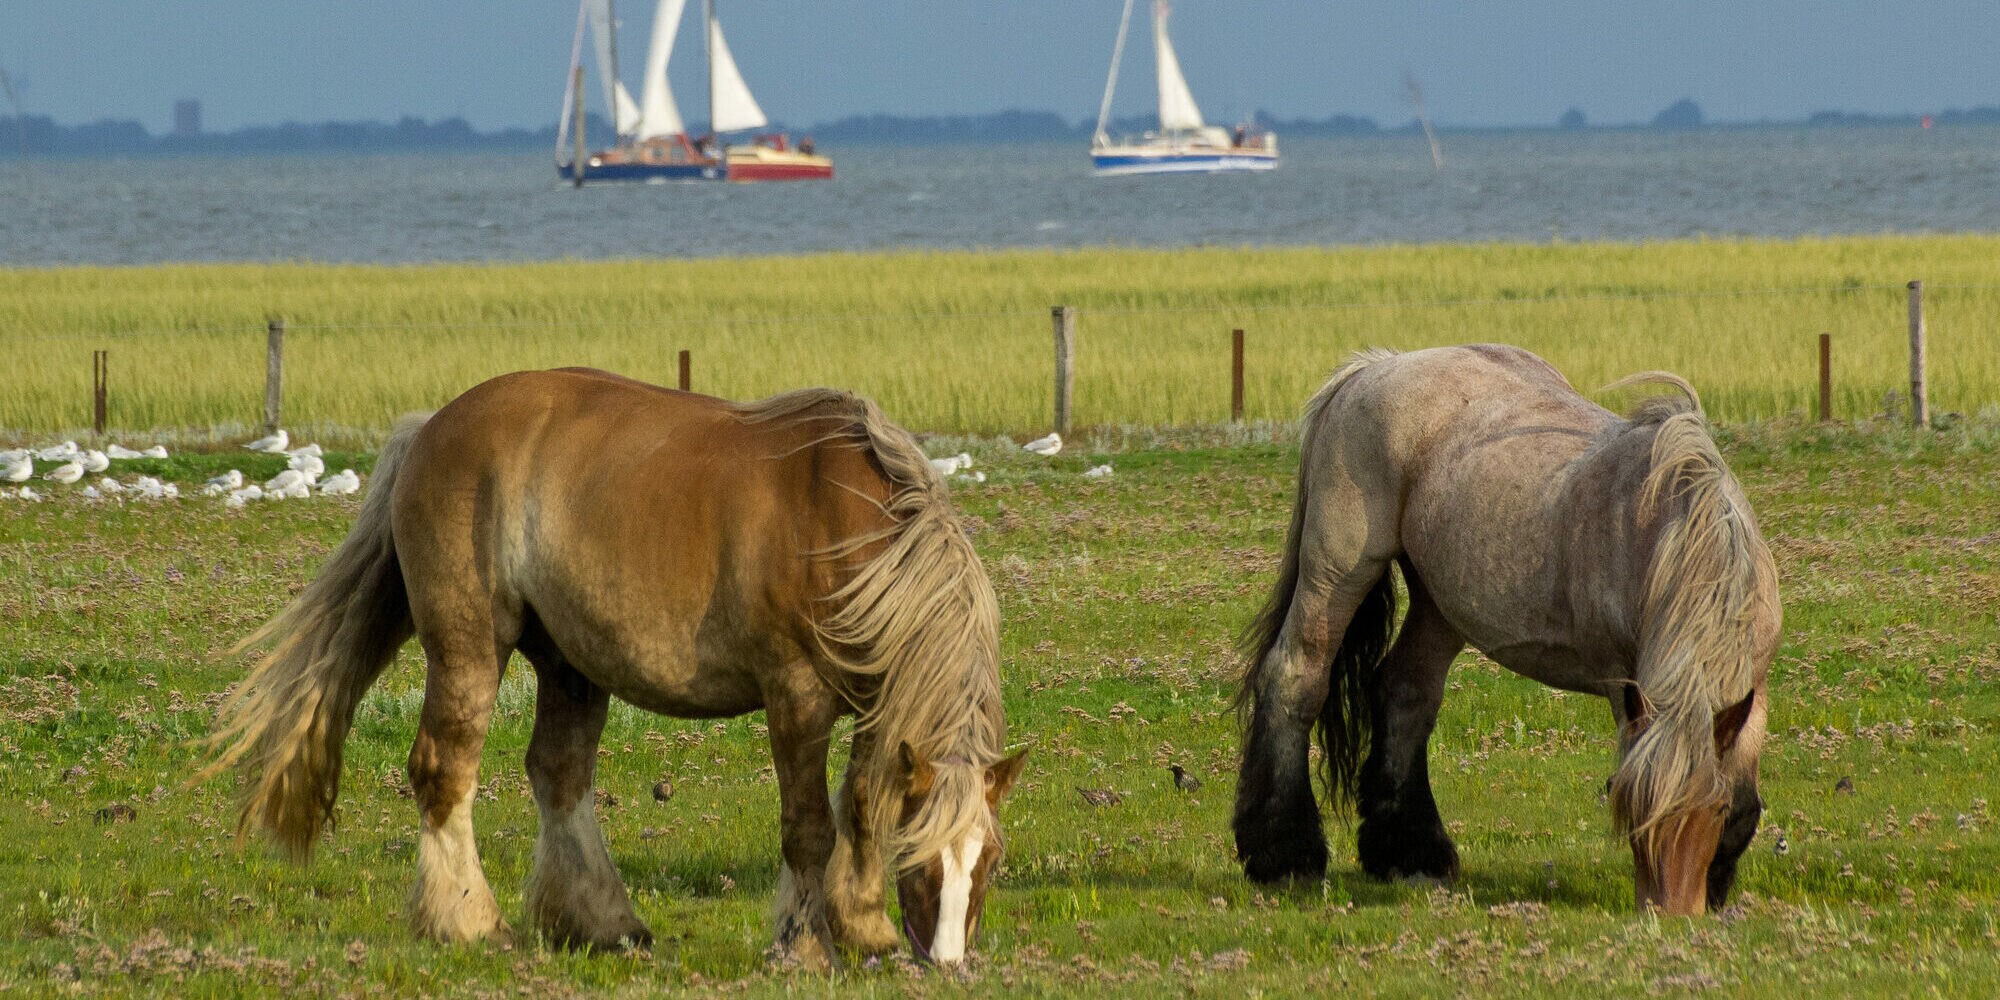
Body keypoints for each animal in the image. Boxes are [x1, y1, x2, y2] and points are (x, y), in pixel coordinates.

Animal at [205, 368, 1028, 968]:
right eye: (923, 865)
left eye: (987, 860)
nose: (948, 962)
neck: (852, 529)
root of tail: (433, 426)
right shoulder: (796, 696)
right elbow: (809, 828)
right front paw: (803, 947)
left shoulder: (878, 705)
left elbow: (861, 808)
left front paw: (863, 928)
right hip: (470, 646)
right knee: (445, 771)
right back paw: (471, 923)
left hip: (569, 664)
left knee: (559, 774)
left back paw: (601, 922)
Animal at [1232, 344, 1778, 915]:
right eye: (1629, 814)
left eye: (1713, 812)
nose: (1667, 914)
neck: (1678, 541)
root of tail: (1376, 366)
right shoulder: (1624, 686)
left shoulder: (1753, 691)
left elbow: (1745, 797)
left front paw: (1718, 888)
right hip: (1337, 571)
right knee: (1295, 678)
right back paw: (1285, 856)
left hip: (1439, 602)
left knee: (1405, 694)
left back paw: (1412, 856)